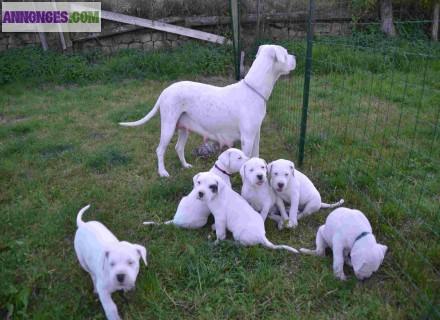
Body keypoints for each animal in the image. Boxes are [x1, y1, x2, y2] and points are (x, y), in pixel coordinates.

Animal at [120, 44, 296, 178]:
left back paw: (185, 165)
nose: (295, 58)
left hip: (183, 128)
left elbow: (256, 155)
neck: (254, 90)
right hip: (168, 126)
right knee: (160, 150)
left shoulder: (255, 134)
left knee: (178, 147)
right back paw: (162, 172)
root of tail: (165, 91)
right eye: (286, 53)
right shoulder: (247, 138)